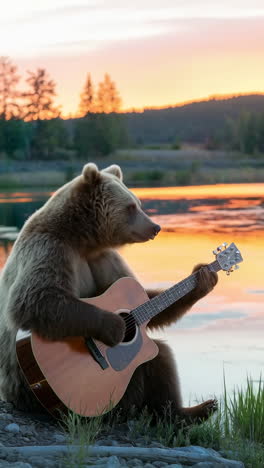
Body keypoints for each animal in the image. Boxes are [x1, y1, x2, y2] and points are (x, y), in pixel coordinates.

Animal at [0, 164, 218, 424]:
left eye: (138, 203)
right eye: (131, 206)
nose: (155, 227)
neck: (82, 239)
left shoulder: (104, 259)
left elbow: (144, 298)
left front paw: (202, 279)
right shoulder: (50, 248)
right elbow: (36, 300)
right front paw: (116, 326)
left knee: (160, 356)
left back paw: (193, 410)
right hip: (35, 387)